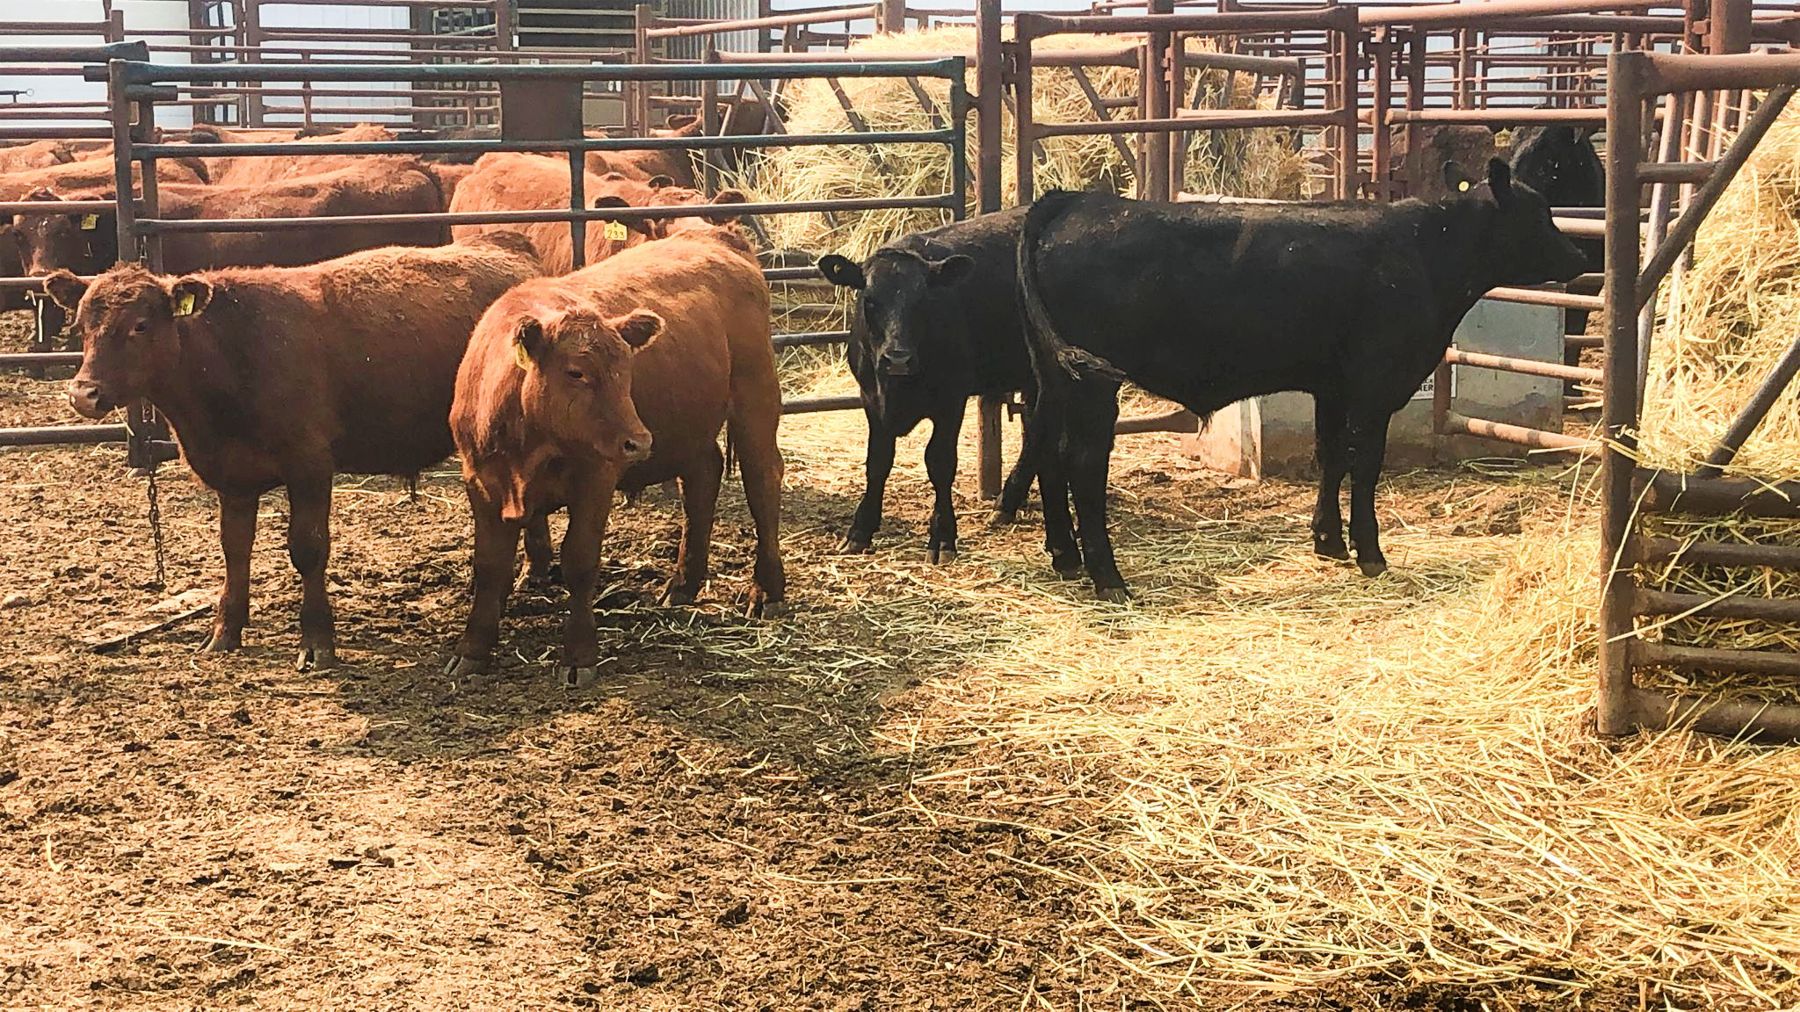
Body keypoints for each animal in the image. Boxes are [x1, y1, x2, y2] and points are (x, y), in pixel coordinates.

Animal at [47, 233, 542, 670]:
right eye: (81, 326)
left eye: (140, 325)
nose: (83, 394)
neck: (232, 352)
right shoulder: (233, 478)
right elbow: (234, 549)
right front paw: (224, 631)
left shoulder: (310, 465)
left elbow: (308, 548)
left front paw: (317, 640)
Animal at [446, 226, 784, 687]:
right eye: (576, 372)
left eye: (627, 369)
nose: (638, 441)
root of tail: (712, 235)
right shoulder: (480, 481)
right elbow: (489, 565)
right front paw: (473, 651)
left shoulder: (596, 477)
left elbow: (580, 559)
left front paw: (579, 654)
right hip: (691, 426)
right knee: (702, 479)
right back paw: (683, 582)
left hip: (755, 400)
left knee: (763, 483)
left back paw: (767, 590)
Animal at [815, 207, 1040, 563]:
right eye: (869, 300)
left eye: (923, 300)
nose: (897, 359)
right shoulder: (871, 399)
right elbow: (877, 461)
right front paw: (860, 531)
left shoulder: (951, 399)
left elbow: (940, 462)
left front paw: (943, 537)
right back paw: (1007, 503)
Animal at [1015, 160, 1589, 597]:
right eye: (1539, 215)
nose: (1579, 256)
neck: (1426, 251)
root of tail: (1073, 202)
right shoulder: (1376, 383)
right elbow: (1365, 464)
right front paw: (1370, 551)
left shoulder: (1332, 385)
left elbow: (1331, 456)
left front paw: (1328, 541)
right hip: (1093, 384)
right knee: (1083, 465)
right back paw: (1108, 577)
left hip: (1055, 378)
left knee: (1047, 453)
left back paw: (1066, 558)